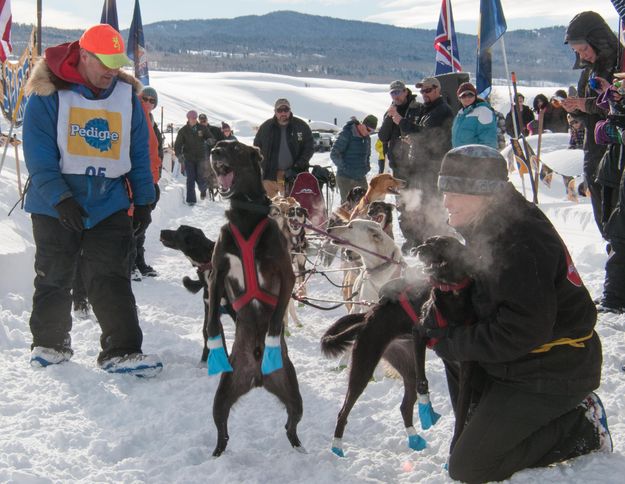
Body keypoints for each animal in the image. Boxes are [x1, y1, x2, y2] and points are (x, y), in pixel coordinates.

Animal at [206, 140, 304, 458]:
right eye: (218, 145)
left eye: (235, 148)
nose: (214, 151)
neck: (245, 215)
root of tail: (258, 379)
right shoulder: (217, 272)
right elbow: (212, 319)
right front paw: (215, 345)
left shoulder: (287, 273)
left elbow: (276, 317)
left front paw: (272, 340)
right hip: (223, 394)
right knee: (222, 432)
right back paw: (216, 457)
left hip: (293, 393)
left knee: (291, 426)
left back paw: (300, 450)